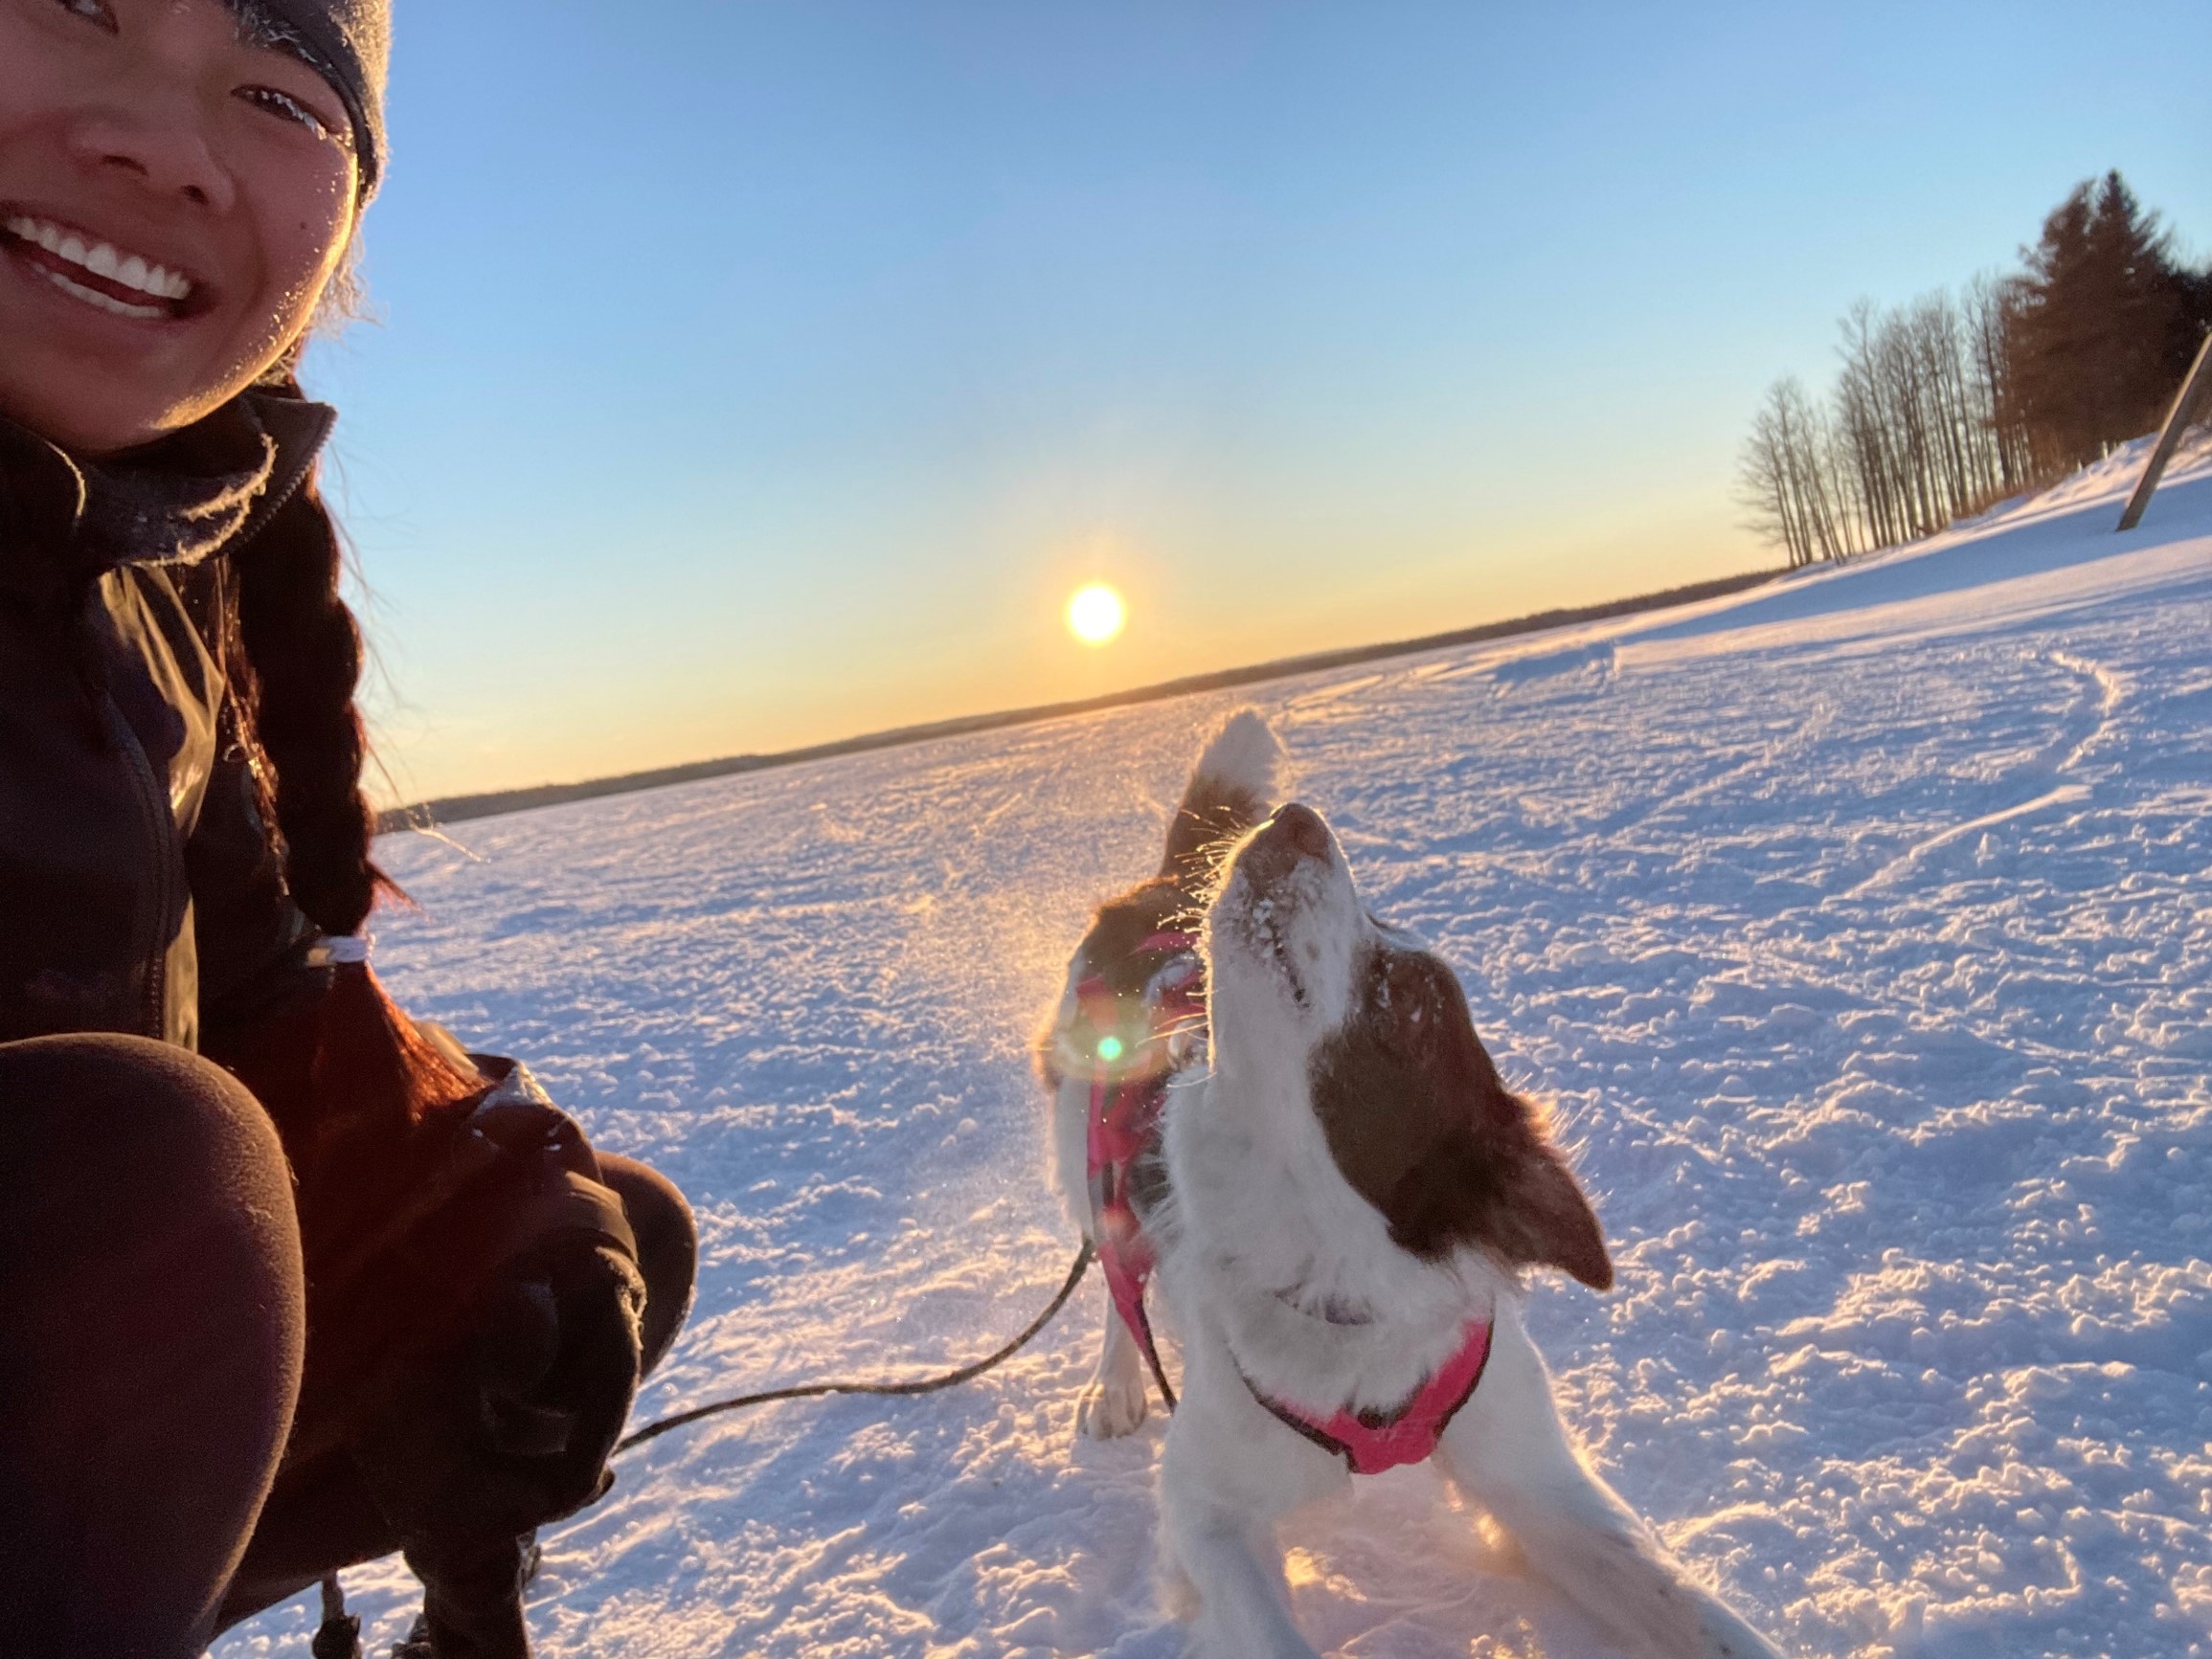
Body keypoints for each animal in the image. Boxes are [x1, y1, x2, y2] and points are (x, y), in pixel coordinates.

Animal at [1035, 721, 1778, 1659]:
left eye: (1408, 990)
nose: (1298, 819)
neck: (1341, 1274)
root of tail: (1160, 887)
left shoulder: (1534, 1473)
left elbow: (1700, 1615)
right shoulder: (1205, 1512)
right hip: (1083, 1150)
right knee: (1114, 1273)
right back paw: (1116, 1382)